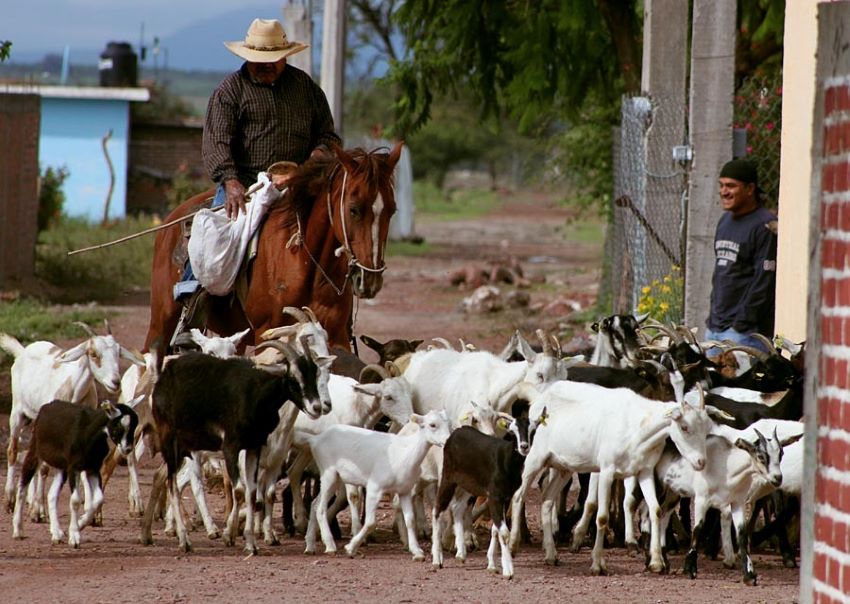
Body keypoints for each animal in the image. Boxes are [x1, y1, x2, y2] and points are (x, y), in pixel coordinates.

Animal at [142, 143, 400, 358]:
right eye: (354, 209)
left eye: (392, 210)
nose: (370, 280)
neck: (306, 264)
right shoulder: (267, 333)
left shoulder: (336, 336)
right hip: (161, 323)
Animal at [304, 408, 450, 560]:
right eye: (432, 425)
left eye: (448, 423)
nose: (448, 440)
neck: (404, 453)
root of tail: (316, 439)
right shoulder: (374, 488)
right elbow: (370, 522)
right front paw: (351, 547)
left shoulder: (405, 491)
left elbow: (410, 520)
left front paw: (417, 551)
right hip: (328, 473)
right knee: (320, 508)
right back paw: (330, 545)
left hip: (336, 478)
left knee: (314, 504)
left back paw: (310, 545)